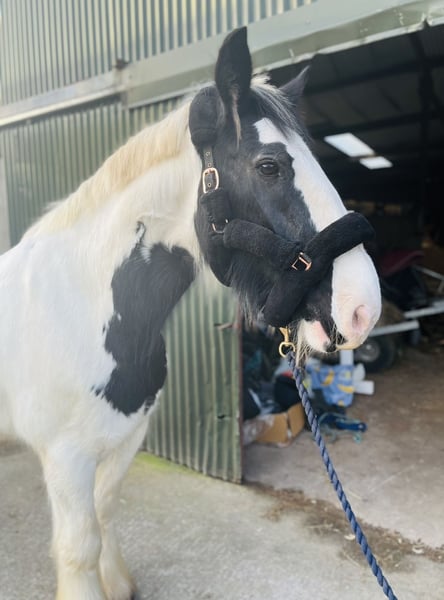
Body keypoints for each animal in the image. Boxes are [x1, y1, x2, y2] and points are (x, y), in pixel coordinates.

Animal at [0, 28, 380, 600]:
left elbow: (105, 511)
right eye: (268, 166)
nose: (363, 308)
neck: (82, 312)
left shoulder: (126, 434)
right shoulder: (66, 457)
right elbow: (78, 546)